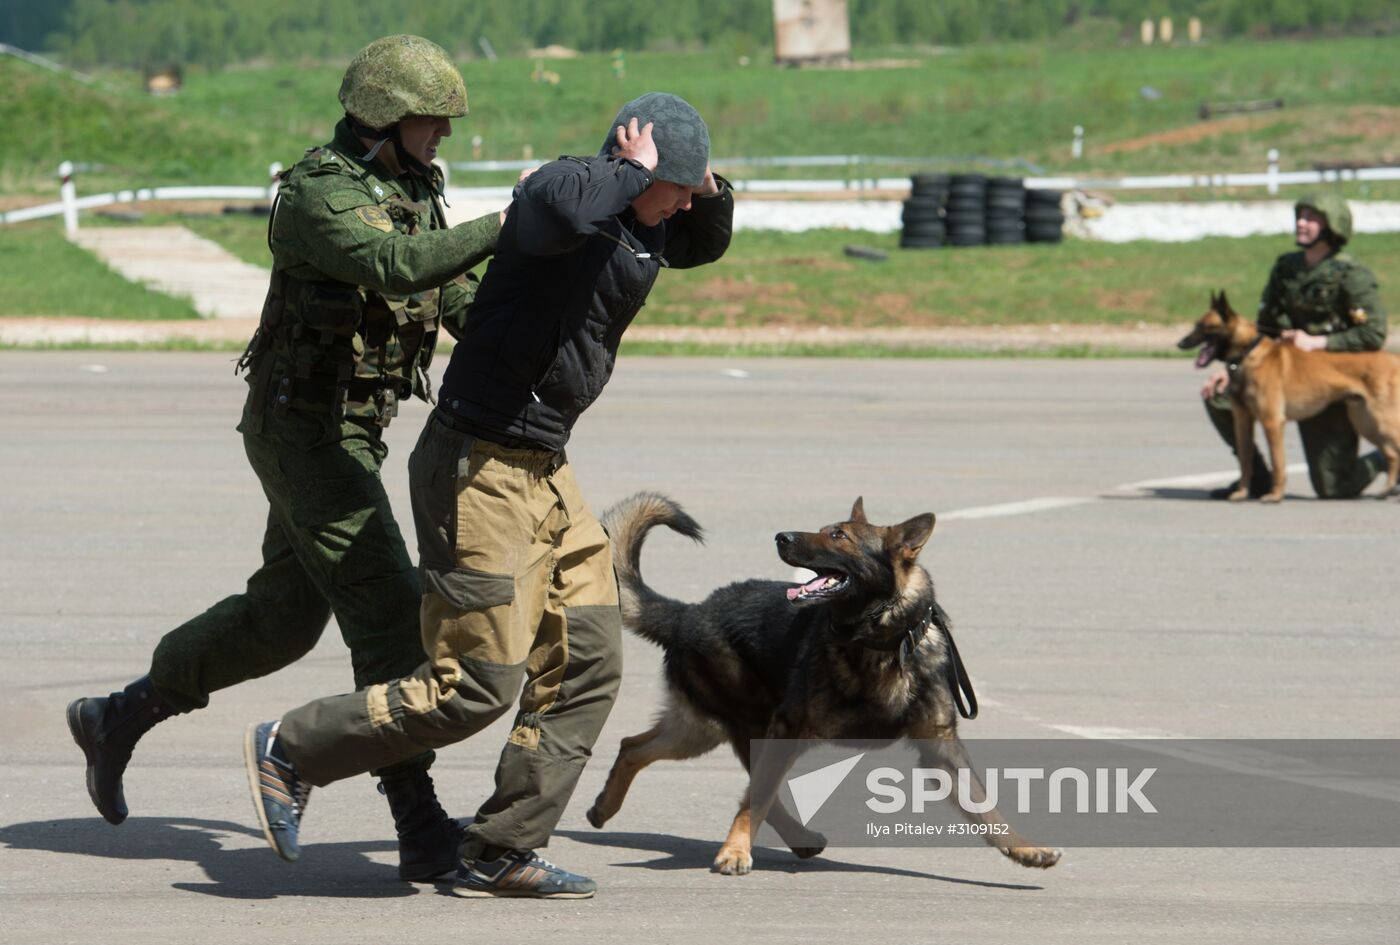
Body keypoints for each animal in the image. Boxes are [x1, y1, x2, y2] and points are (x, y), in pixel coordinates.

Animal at [585, 492, 1052, 873]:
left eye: (840, 536)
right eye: (824, 530)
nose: (781, 536)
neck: (881, 641)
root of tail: (687, 613)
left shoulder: (940, 747)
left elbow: (986, 807)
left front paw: (1024, 849)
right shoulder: (787, 728)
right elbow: (756, 798)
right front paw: (734, 852)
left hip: (703, 730)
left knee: (634, 747)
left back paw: (604, 807)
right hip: (741, 726)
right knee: (748, 787)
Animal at [1181, 289, 1400, 504]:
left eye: (1205, 327)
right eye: (1196, 324)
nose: (1180, 343)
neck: (1247, 354)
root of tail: (1394, 359)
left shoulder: (1272, 422)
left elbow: (1278, 463)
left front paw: (1275, 495)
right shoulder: (1242, 421)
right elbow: (1245, 460)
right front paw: (1242, 493)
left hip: (1381, 420)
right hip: (1365, 422)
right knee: (1390, 455)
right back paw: (1386, 490)